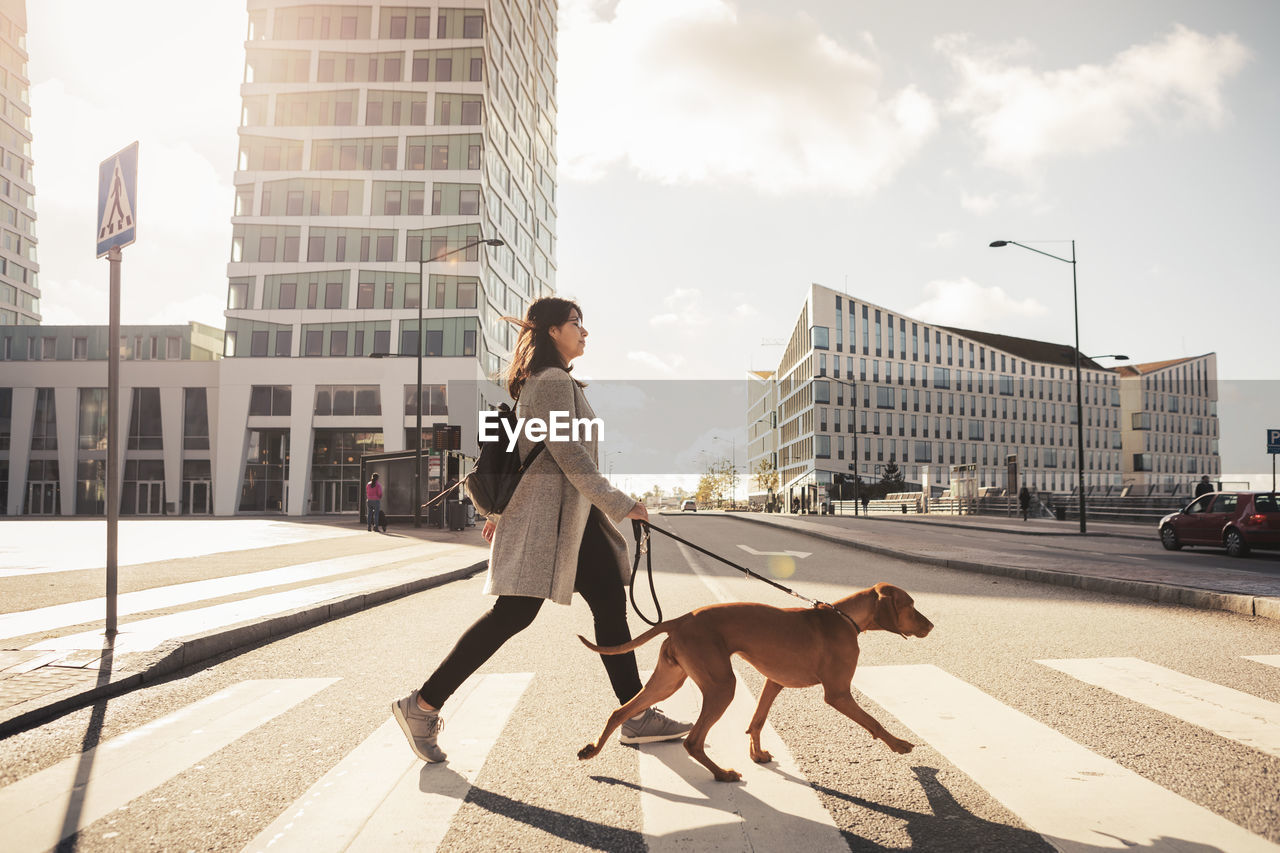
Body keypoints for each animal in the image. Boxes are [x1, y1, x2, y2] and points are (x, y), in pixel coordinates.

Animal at [578, 581, 931, 778]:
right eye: (911, 605)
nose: (930, 626)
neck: (845, 618)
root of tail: (679, 620)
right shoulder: (838, 693)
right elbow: (874, 721)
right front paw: (899, 744)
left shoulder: (774, 683)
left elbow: (757, 721)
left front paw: (757, 754)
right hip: (721, 686)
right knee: (693, 741)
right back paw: (721, 774)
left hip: (668, 681)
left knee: (620, 711)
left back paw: (592, 749)